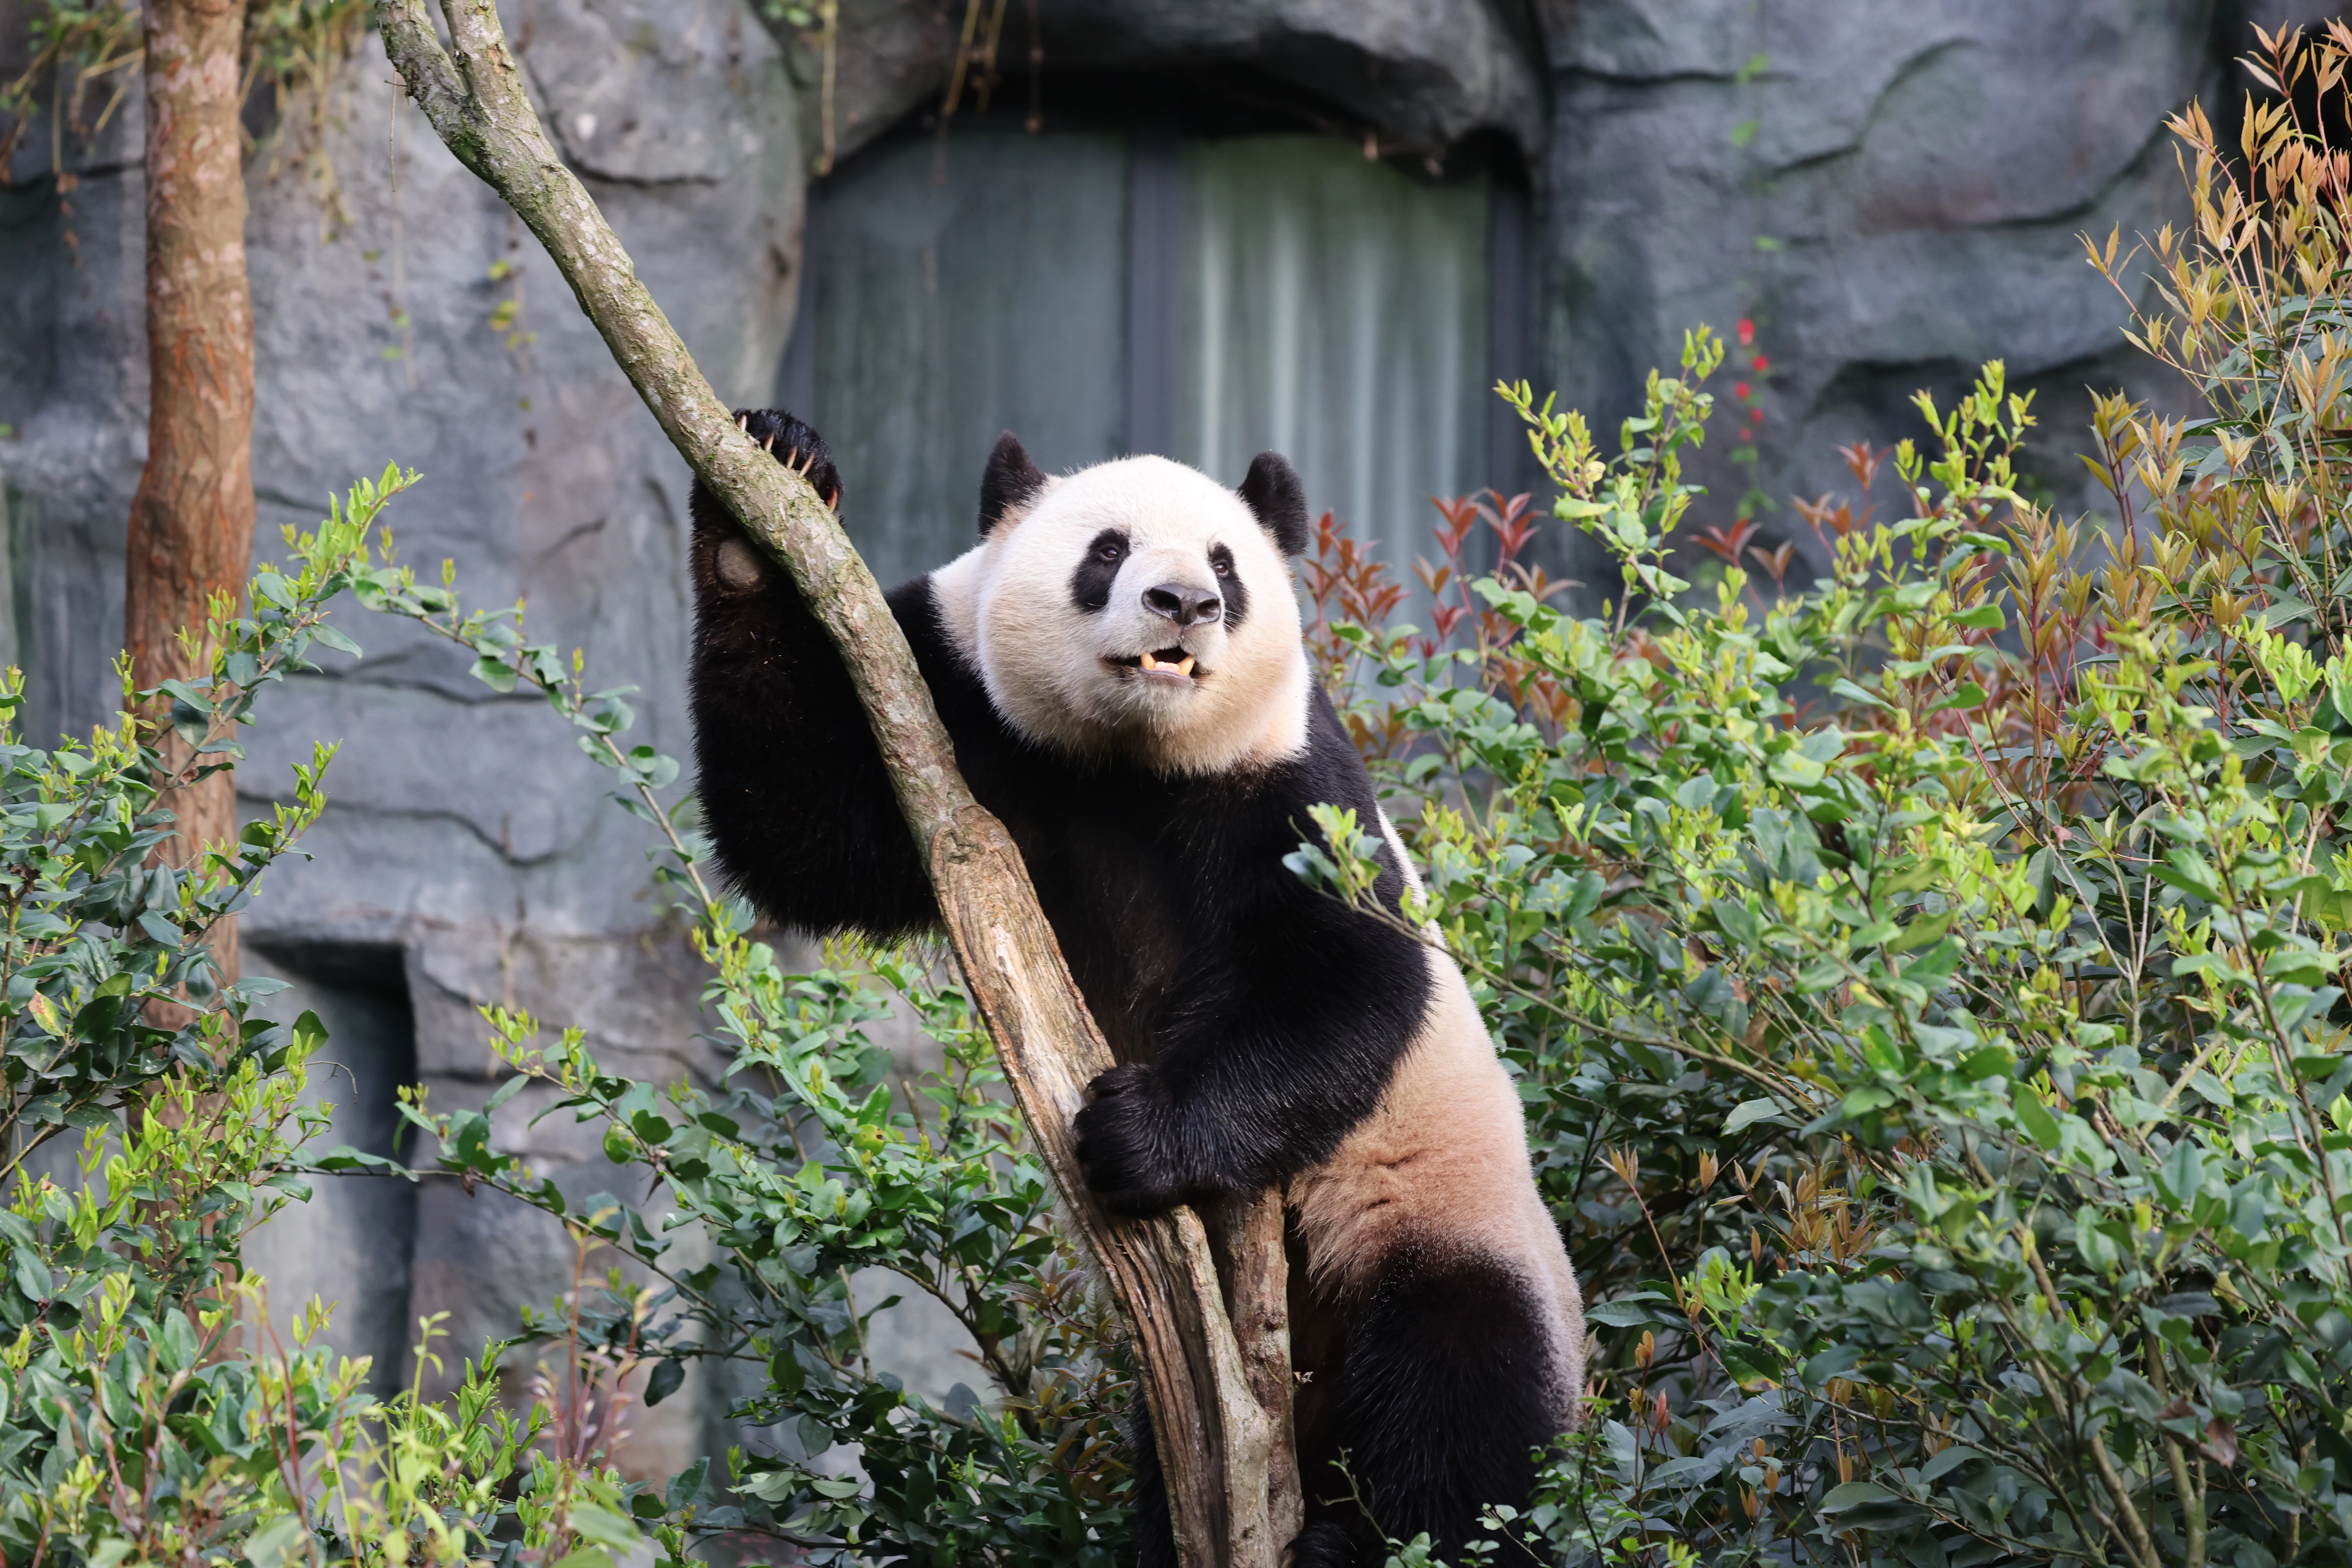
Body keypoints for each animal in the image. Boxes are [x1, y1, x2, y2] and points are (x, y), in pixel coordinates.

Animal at [687, 409, 1584, 1568]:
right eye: (1105, 551)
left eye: (1225, 564)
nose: (1184, 605)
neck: (1131, 759)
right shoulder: (963, 718)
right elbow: (809, 825)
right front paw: (768, 482)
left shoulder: (1289, 783)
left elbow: (1353, 977)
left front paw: (1138, 1134)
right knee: (1191, 1453)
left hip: (1445, 1218)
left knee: (1465, 1399)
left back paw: (1360, 1538)